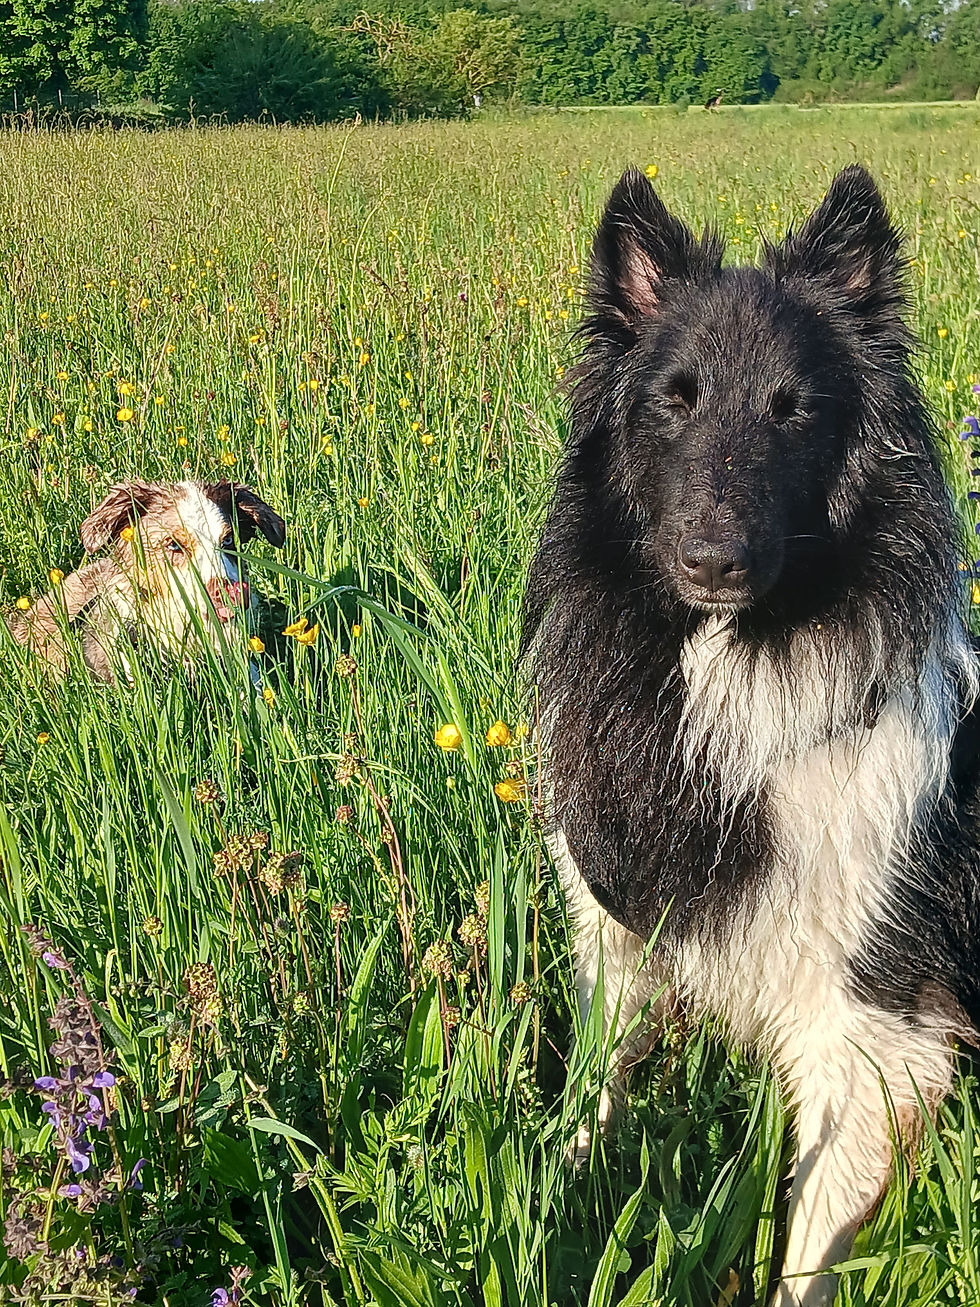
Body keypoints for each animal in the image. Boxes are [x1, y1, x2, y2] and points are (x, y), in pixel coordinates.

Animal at [522, 164, 980, 1306]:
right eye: (671, 400)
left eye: (794, 409)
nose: (713, 560)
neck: (735, 667)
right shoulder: (617, 941)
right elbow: (585, 1113)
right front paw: (550, 1210)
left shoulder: (874, 1032)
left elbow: (803, 1252)